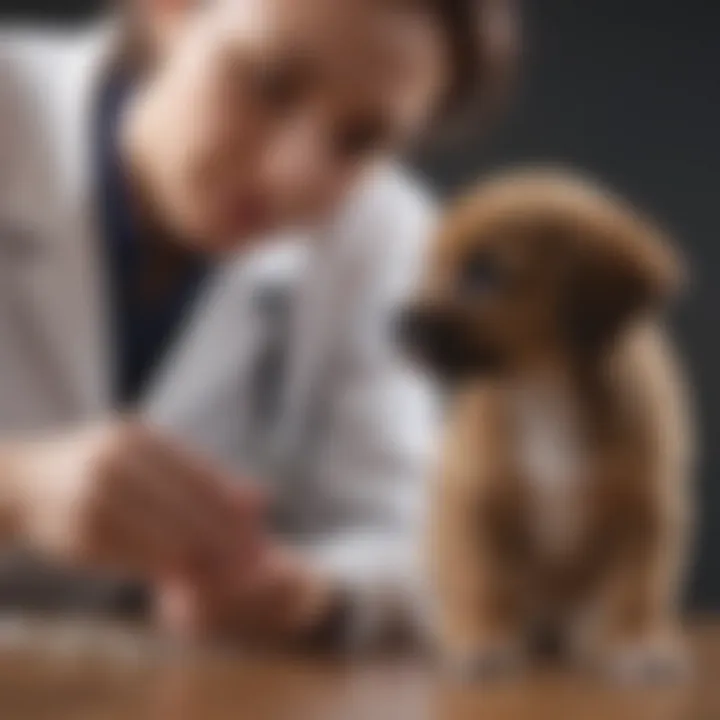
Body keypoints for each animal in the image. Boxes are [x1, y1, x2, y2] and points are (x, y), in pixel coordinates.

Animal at [402, 170, 696, 688]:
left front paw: (635, 643)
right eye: (432, 264)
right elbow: (482, 581)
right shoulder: (473, 501)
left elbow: (636, 589)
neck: (542, 392)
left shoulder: (644, 509)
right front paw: (482, 641)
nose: (397, 325)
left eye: (484, 273)